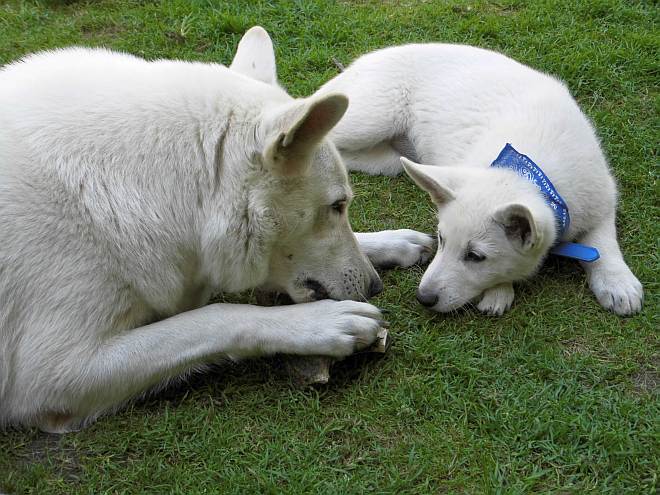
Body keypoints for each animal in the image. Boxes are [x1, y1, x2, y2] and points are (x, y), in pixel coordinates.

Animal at [0, 33, 434, 432]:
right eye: (337, 205)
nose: (376, 287)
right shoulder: (56, 374)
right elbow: (216, 317)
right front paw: (320, 323)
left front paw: (392, 241)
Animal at [318, 41, 640, 314]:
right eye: (441, 239)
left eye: (475, 256)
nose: (424, 298)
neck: (530, 168)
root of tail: (361, 62)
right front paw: (499, 291)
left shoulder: (601, 199)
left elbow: (603, 241)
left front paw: (617, 280)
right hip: (369, 120)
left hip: (386, 159)